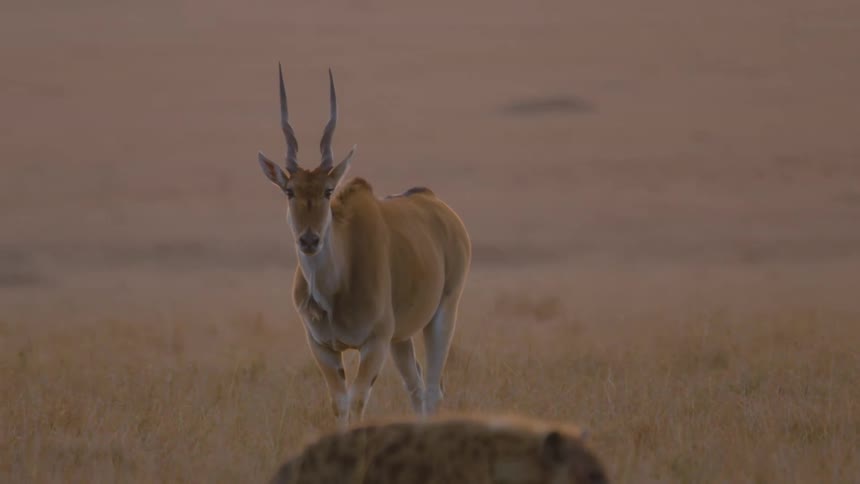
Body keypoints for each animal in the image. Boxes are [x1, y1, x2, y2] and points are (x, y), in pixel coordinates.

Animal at [256, 64, 471, 426]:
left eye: (328, 190)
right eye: (289, 191)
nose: (309, 239)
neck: (334, 289)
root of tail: (439, 206)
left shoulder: (374, 343)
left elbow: (357, 403)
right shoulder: (323, 347)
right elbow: (340, 404)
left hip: (443, 313)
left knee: (431, 390)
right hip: (401, 338)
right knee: (415, 388)